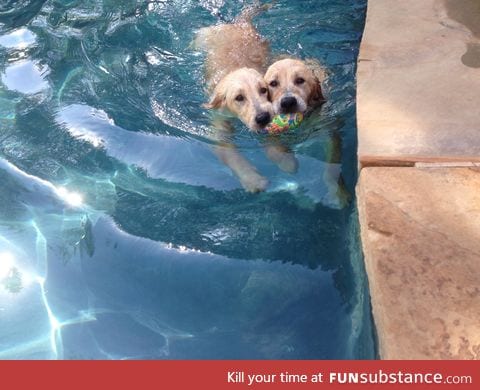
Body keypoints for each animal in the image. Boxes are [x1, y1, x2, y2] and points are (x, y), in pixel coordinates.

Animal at [194, 4, 278, 193]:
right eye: (239, 97)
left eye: (263, 89)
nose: (263, 117)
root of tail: (238, 23)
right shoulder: (219, 125)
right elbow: (232, 156)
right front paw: (253, 179)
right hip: (204, 36)